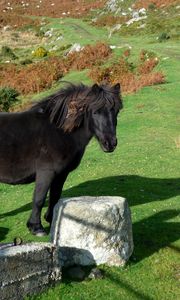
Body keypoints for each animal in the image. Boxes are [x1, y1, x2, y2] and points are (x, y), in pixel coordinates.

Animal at [0, 82, 122, 234]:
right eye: (95, 112)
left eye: (116, 111)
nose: (110, 143)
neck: (59, 131)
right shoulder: (46, 172)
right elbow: (39, 198)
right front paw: (36, 227)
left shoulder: (61, 173)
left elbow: (55, 196)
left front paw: (52, 219)